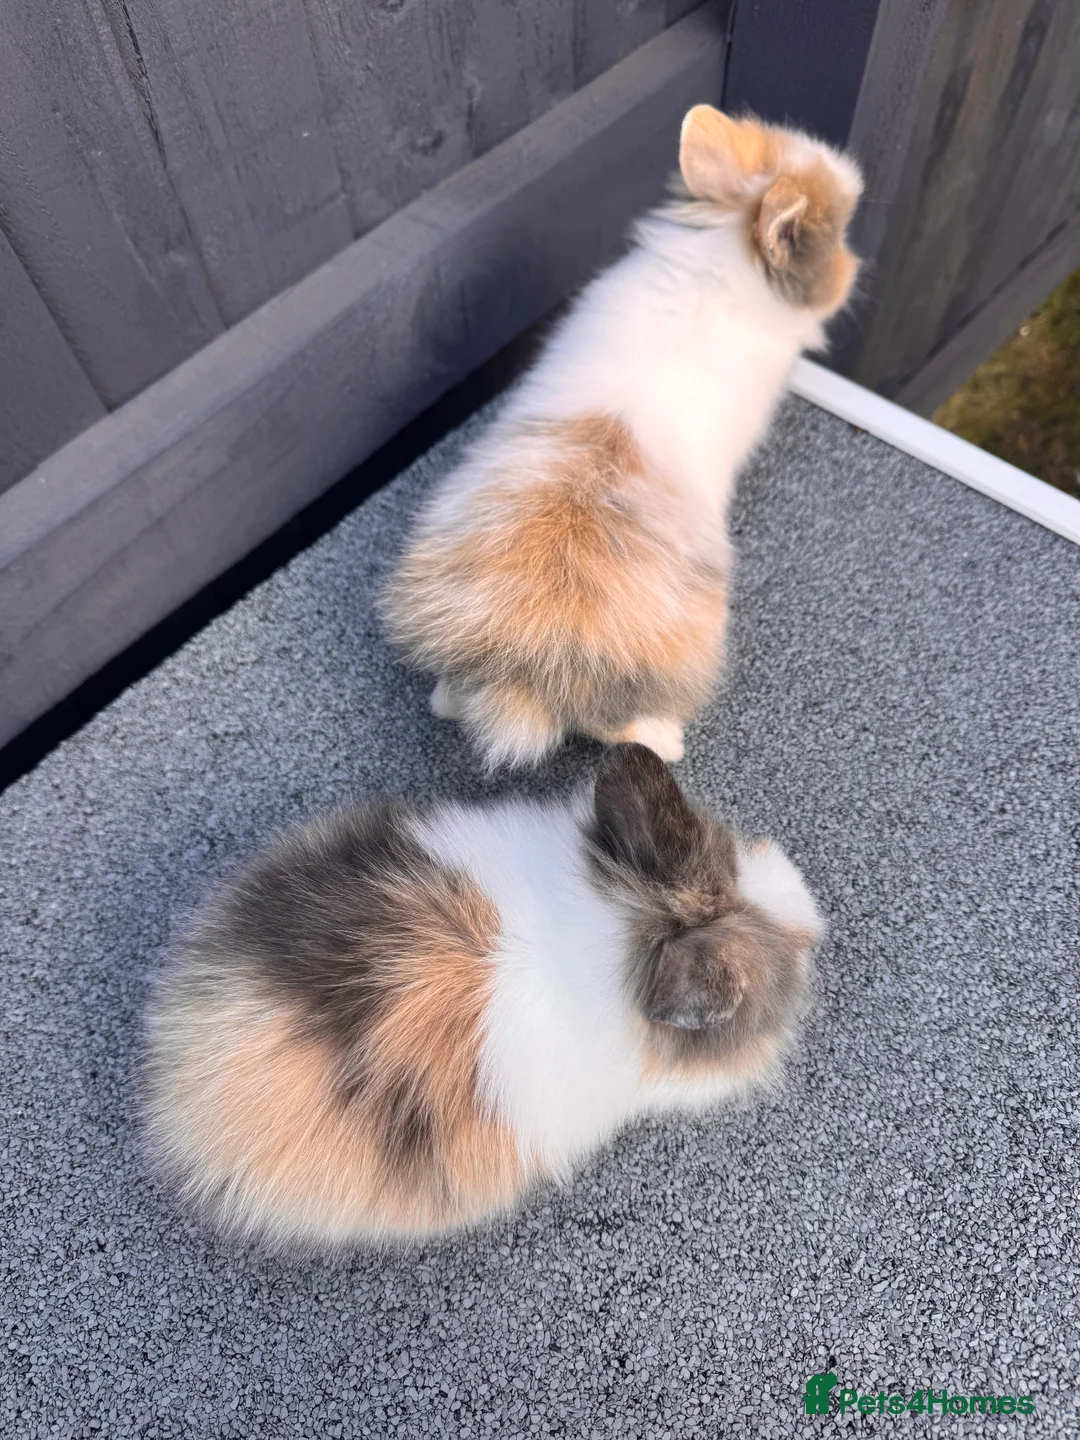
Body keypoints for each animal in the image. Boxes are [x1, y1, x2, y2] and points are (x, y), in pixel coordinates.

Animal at [380, 105, 863, 769]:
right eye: (835, 234)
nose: (853, 269)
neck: (725, 261)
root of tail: (527, 674)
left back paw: (447, 700)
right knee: (615, 727)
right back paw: (666, 741)